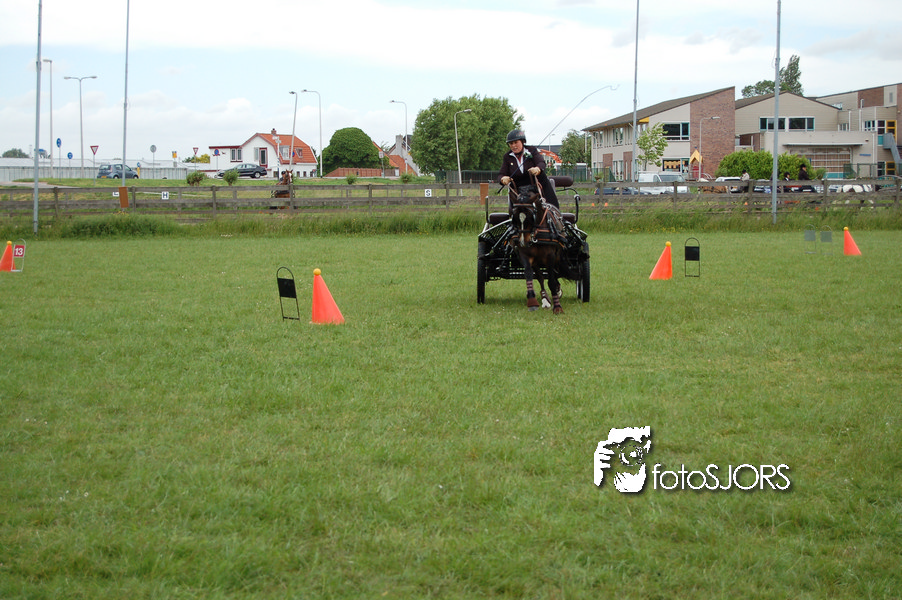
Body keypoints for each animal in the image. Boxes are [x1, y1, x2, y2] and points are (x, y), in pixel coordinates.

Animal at [507, 184, 577, 314]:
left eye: (531, 216)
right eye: (515, 217)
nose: (523, 241)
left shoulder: (550, 256)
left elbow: (551, 281)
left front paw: (557, 307)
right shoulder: (525, 255)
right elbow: (529, 274)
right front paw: (532, 301)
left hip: (557, 256)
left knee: (554, 273)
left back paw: (556, 292)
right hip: (536, 261)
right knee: (540, 277)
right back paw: (545, 299)